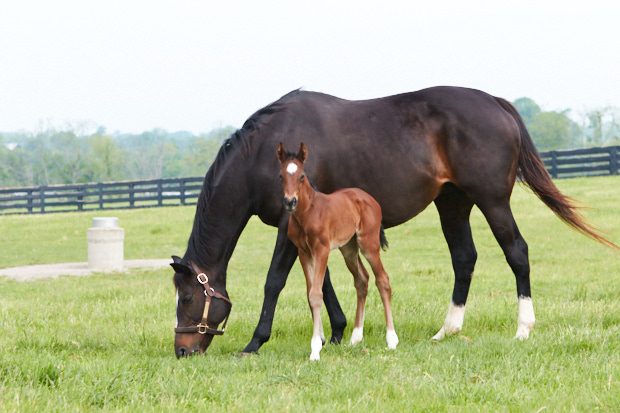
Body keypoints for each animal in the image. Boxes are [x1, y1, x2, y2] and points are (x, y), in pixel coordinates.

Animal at [276, 142, 398, 360]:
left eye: (302, 176)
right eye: (281, 176)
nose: (290, 202)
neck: (307, 213)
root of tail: (370, 199)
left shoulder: (321, 249)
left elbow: (316, 294)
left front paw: (315, 349)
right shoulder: (303, 252)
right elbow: (310, 294)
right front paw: (320, 340)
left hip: (368, 245)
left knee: (382, 280)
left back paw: (391, 339)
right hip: (348, 248)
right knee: (362, 280)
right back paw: (356, 338)